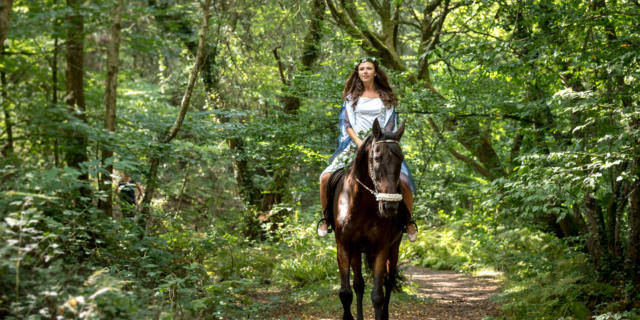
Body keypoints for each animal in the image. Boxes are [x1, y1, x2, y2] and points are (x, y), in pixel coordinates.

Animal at [328, 119, 408, 318]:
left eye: (401, 159)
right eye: (377, 158)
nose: (390, 206)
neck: (361, 206)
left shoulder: (381, 247)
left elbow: (378, 295)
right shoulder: (344, 246)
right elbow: (346, 292)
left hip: (394, 247)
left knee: (388, 281)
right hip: (357, 251)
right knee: (359, 285)